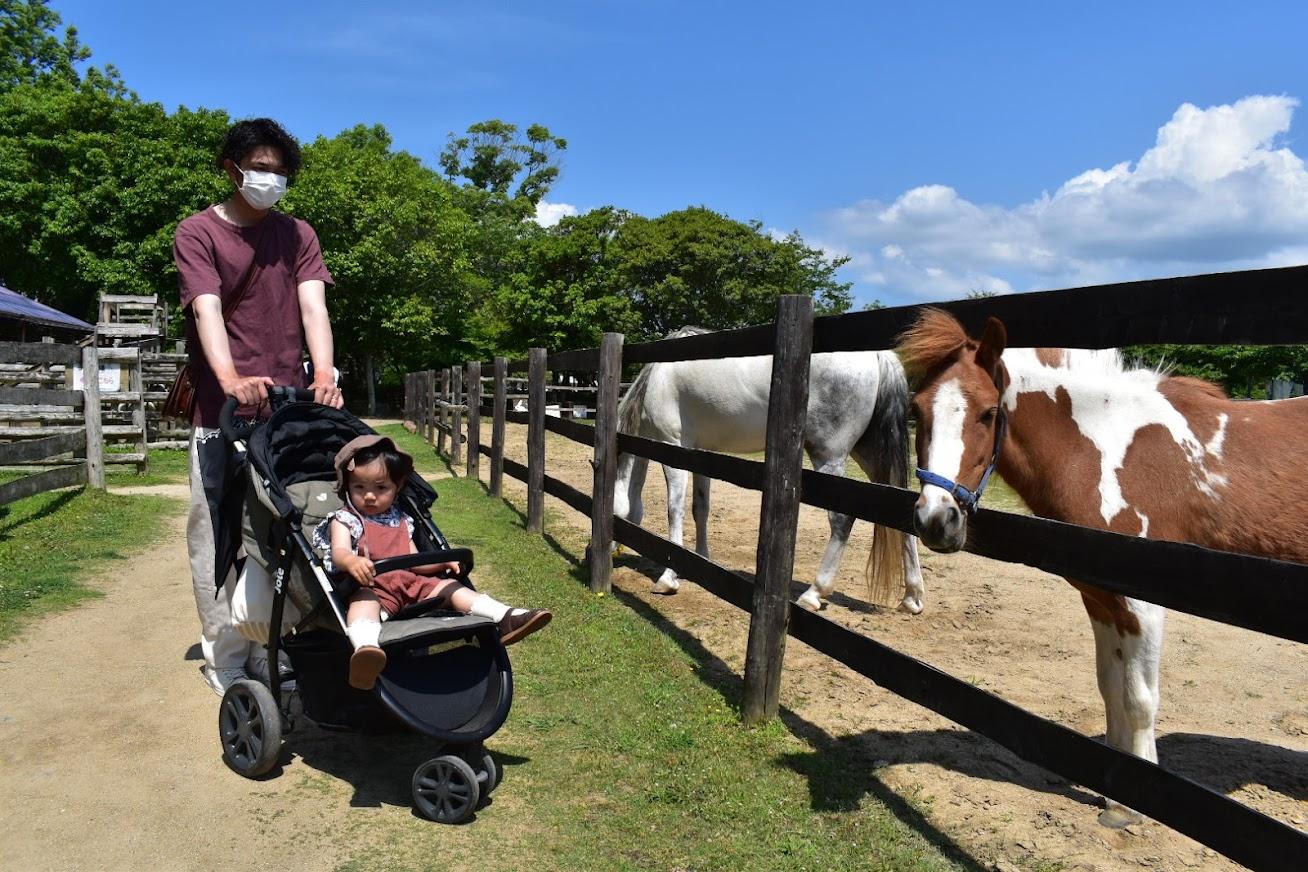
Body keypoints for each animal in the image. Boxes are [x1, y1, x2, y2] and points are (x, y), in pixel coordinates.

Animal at [617, 326, 926, 614]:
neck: (658, 377)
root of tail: (878, 355)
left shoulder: (674, 447)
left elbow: (675, 509)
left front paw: (669, 577)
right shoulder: (701, 454)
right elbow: (700, 509)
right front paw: (700, 558)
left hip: (830, 457)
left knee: (842, 520)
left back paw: (814, 593)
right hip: (871, 456)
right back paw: (912, 596)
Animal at [899, 309, 1308, 831]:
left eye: (988, 413)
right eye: (918, 410)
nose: (936, 520)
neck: (1105, 451)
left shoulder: (1143, 604)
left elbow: (1139, 698)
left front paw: (1131, 807)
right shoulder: (1101, 599)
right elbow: (1110, 686)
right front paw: (1113, 790)